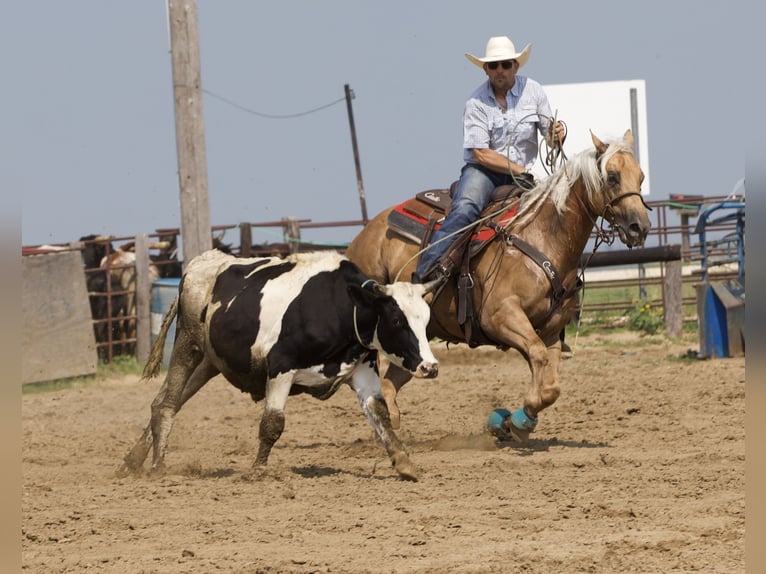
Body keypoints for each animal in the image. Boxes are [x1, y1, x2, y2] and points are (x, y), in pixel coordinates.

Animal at [121, 251, 444, 482]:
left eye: (427, 319)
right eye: (397, 320)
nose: (430, 367)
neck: (341, 307)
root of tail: (198, 264)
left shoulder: (363, 369)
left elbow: (379, 413)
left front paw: (404, 462)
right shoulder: (281, 367)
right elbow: (272, 423)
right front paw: (257, 470)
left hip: (209, 362)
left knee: (165, 401)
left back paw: (133, 460)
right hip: (187, 344)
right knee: (168, 403)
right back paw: (157, 466)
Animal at [348, 130, 656, 440]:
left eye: (641, 176)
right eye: (612, 176)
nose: (639, 227)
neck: (542, 237)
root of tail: (364, 235)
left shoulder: (550, 332)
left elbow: (550, 386)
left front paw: (514, 422)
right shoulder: (500, 317)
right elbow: (537, 357)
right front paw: (513, 421)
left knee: (390, 383)